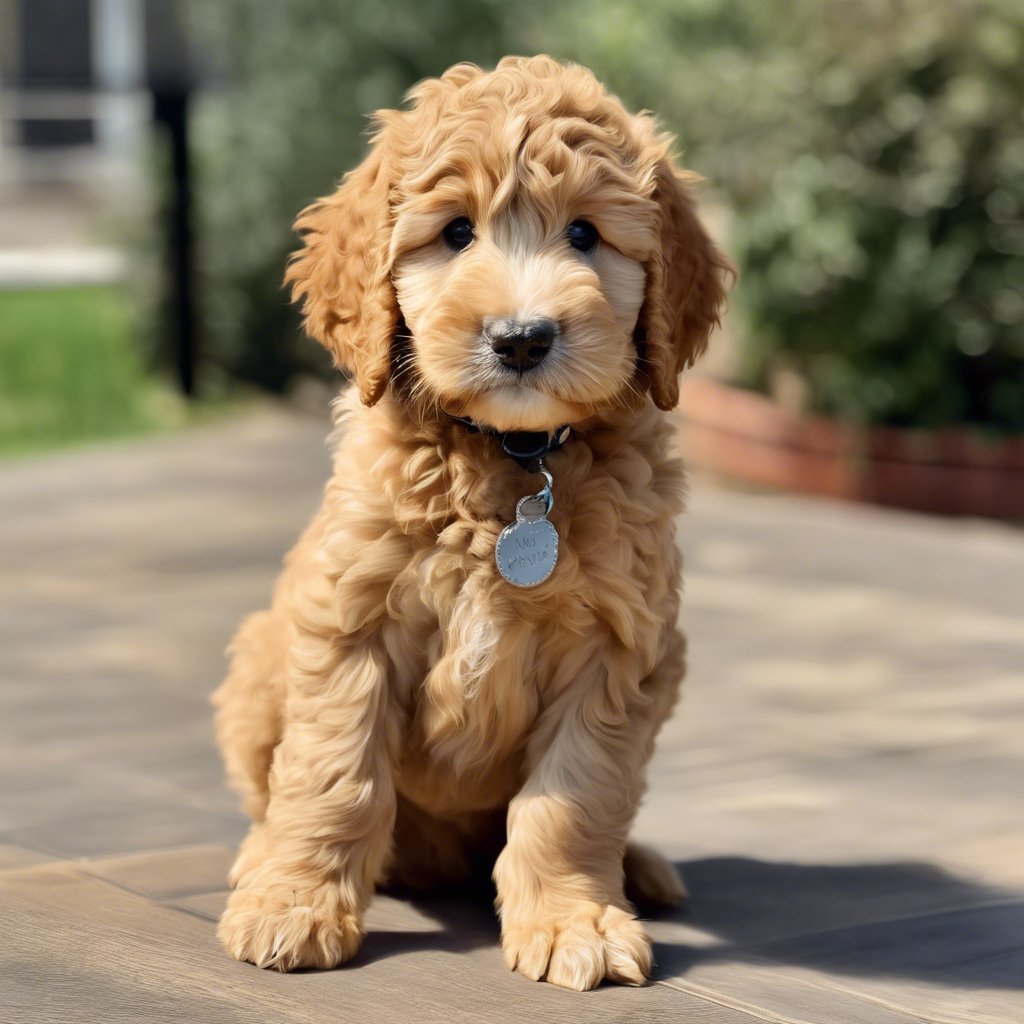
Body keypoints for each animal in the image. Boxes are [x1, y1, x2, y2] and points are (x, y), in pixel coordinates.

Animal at [211, 56, 733, 991]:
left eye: (586, 236)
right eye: (456, 232)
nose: (521, 339)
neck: (514, 460)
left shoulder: (618, 648)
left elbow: (576, 796)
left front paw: (571, 920)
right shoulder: (352, 621)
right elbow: (332, 775)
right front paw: (295, 904)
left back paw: (638, 867)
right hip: (255, 669)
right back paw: (262, 859)